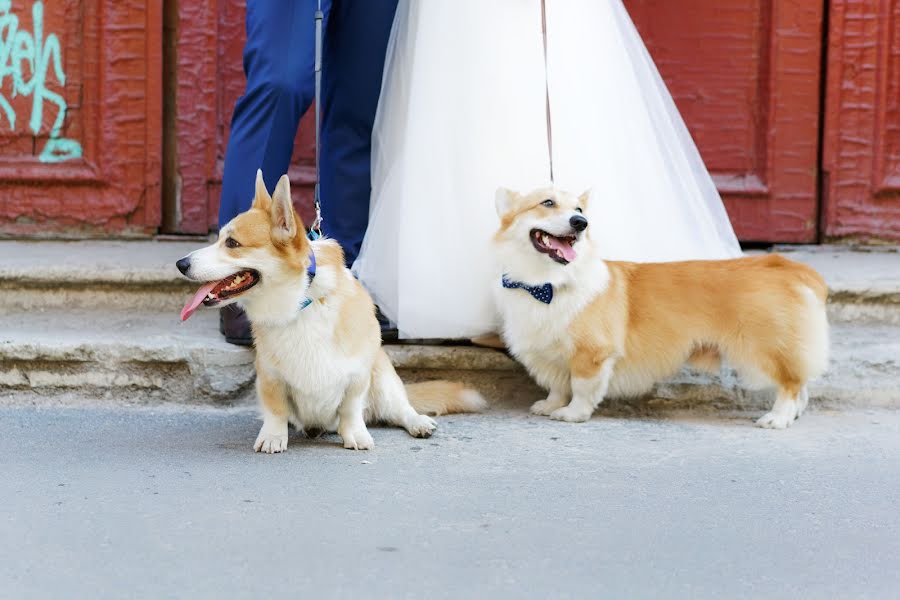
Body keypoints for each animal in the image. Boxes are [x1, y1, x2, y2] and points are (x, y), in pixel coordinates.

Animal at [176, 171, 486, 452]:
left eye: (232, 243)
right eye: (219, 239)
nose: (181, 264)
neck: (300, 301)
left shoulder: (357, 374)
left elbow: (350, 409)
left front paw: (355, 436)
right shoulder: (270, 376)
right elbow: (276, 410)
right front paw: (273, 437)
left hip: (383, 377)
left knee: (399, 408)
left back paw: (417, 421)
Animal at [492, 188, 828, 426]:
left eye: (579, 210)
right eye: (547, 202)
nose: (581, 223)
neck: (547, 284)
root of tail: (788, 266)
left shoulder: (592, 355)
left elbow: (582, 387)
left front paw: (573, 414)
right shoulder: (549, 353)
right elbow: (558, 385)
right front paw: (549, 405)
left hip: (764, 348)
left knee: (790, 383)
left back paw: (778, 419)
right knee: (801, 382)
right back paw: (793, 415)